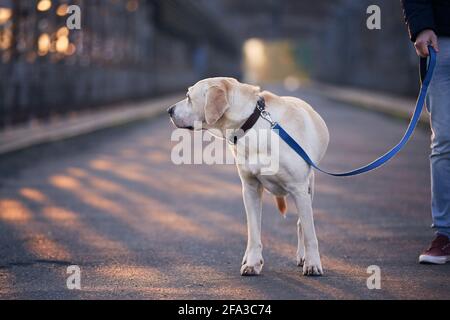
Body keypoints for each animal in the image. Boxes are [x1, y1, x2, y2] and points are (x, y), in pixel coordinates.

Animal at [167, 77, 328, 276]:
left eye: (189, 96)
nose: (169, 110)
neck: (254, 125)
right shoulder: (250, 189)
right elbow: (253, 232)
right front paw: (252, 262)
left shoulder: (299, 189)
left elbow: (310, 234)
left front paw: (313, 263)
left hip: (308, 188)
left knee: (301, 225)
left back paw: (303, 257)